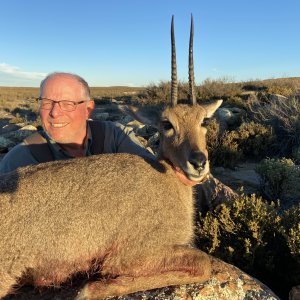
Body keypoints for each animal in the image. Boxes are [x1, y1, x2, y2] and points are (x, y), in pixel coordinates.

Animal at [0, 15, 220, 298]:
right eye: (167, 124)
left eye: (204, 121)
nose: (198, 162)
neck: (168, 180)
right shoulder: (129, 255)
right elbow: (203, 264)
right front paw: (94, 288)